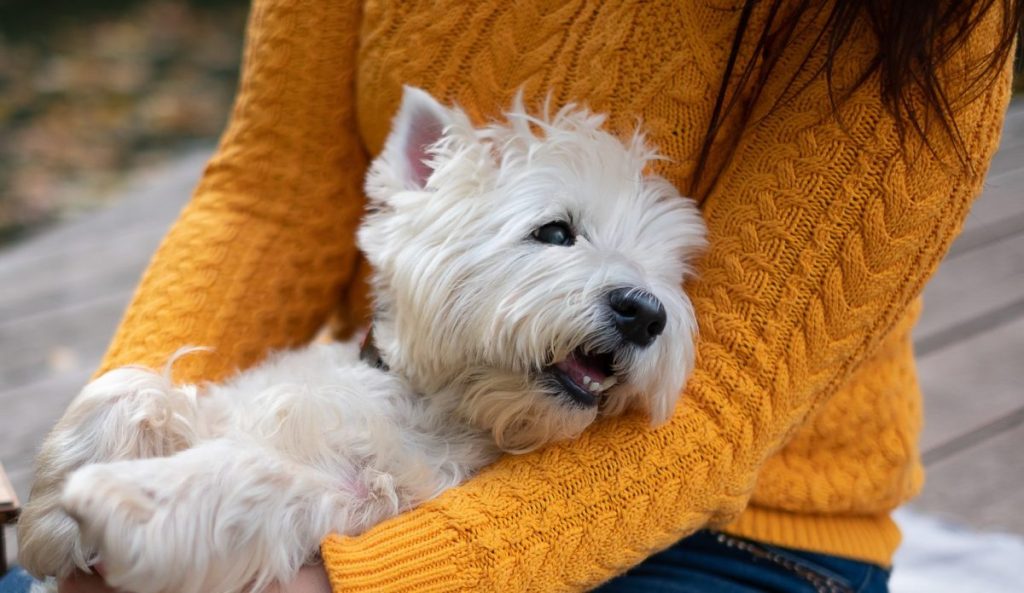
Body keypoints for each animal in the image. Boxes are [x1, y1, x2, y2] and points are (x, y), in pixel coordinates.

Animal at [16, 87, 704, 593]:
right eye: (556, 231)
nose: (645, 313)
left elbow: (256, 472)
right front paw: (51, 518)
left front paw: (123, 496)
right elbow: (129, 385)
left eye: (667, 276)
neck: (422, 397)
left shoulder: (352, 504)